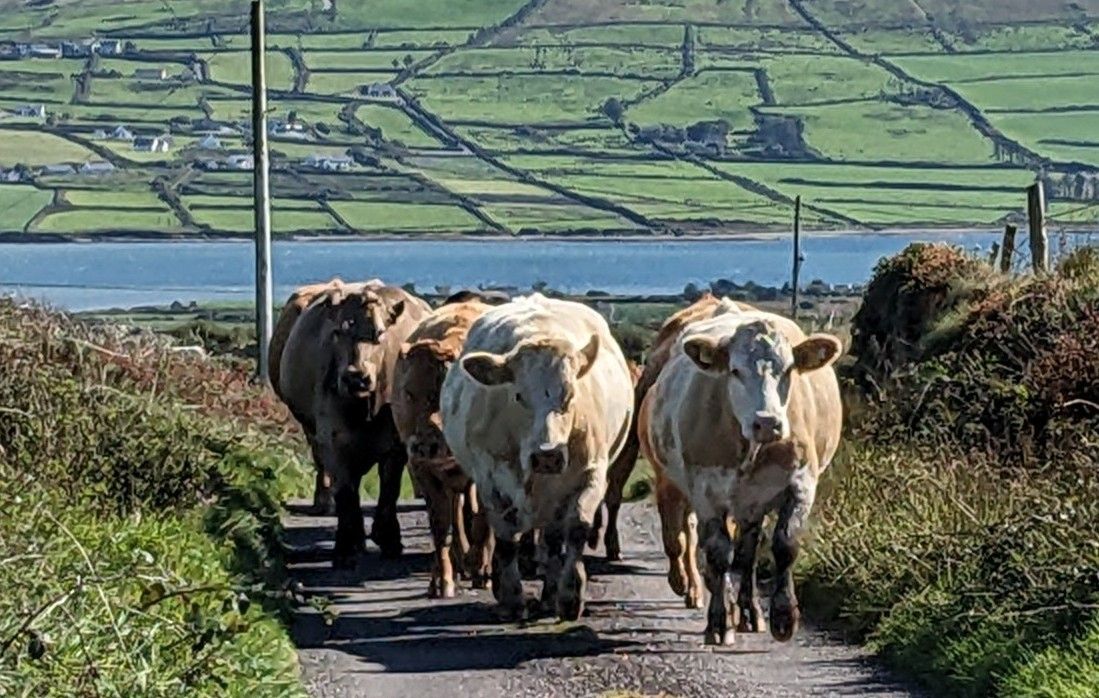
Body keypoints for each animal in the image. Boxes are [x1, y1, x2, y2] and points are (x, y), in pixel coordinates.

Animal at [276, 280, 431, 568]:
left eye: (379, 334)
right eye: (337, 332)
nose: (355, 376)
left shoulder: (395, 444)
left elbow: (389, 488)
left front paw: (388, 537)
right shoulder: (333, 439)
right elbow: (346, 491)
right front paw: (347, 546)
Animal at [392, 293, 495, 598]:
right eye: (409, 393)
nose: (425, 444)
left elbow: (482, 522)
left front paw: (479, 566)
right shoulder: (422, 470)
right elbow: (441, 527)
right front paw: (444, 579)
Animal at [440, 294, 634, 621]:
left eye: (569, 396)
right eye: (518, 395)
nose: (548, 456)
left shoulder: (592, 475)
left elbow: (577, 530)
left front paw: (570, 594)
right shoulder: (490, 480)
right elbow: (506, 540)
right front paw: (511, 598)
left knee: (554, 540)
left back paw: (550, 593)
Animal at [637, 298, 843, 645]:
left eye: (789, 370)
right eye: (735, 371)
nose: (768, 422)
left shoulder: (801, 484)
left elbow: (784, 545)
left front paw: (783, 615)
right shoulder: (706, 492)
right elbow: (718, 554)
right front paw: (719, 622)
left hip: (751, 503)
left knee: (746, 554)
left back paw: (748, 611)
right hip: (673, 481)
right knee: (682, 538)